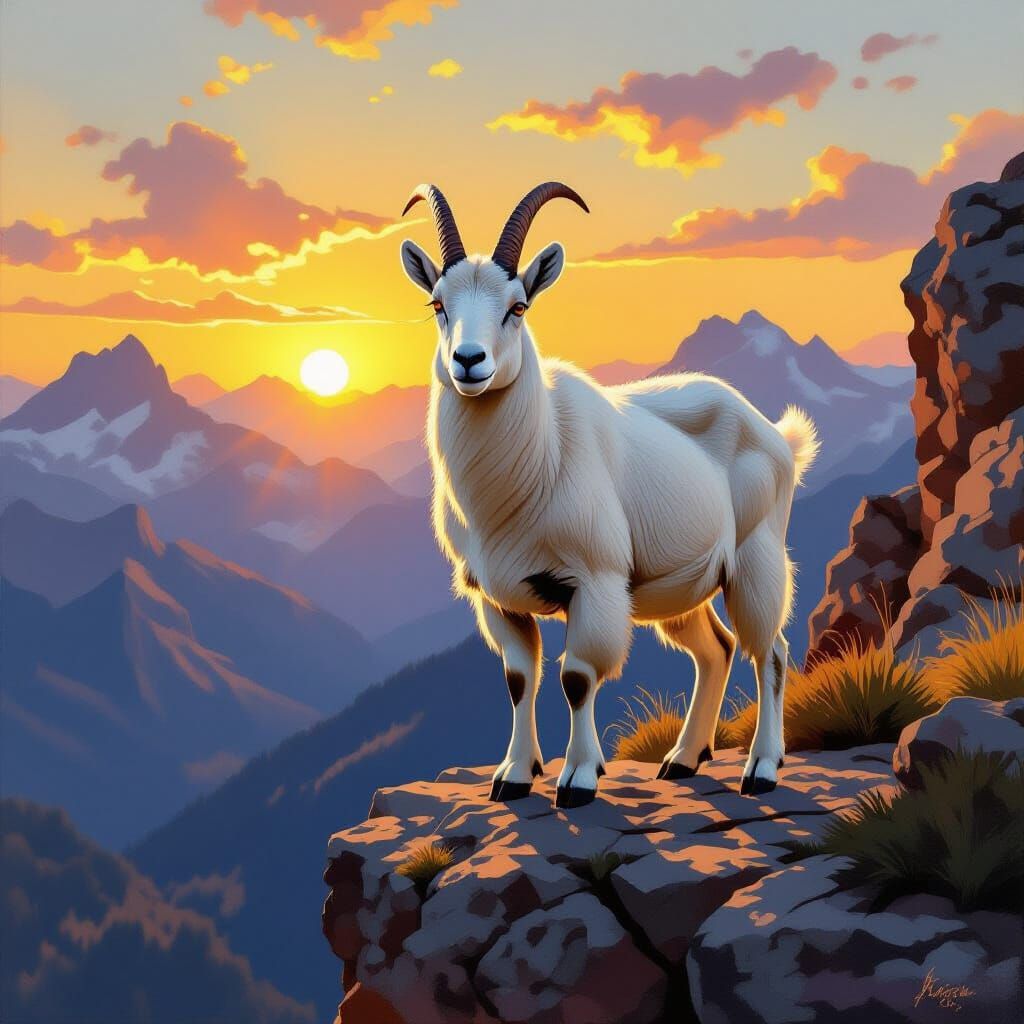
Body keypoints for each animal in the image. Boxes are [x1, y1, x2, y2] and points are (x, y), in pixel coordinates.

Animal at [400, 182, 818, 807]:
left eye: (518, 307)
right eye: (437, 304)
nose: (469, 362)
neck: (538, 459)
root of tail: (777, 436)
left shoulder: (594, 582)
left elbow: (577, 677)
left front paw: (577, 779)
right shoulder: (496, 597)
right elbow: (519, 679)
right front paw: (513, 776)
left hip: (756, 561)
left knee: (769, 651)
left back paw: (762, 768)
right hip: (679, 586)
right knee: (715, 649)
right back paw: (682, 760)